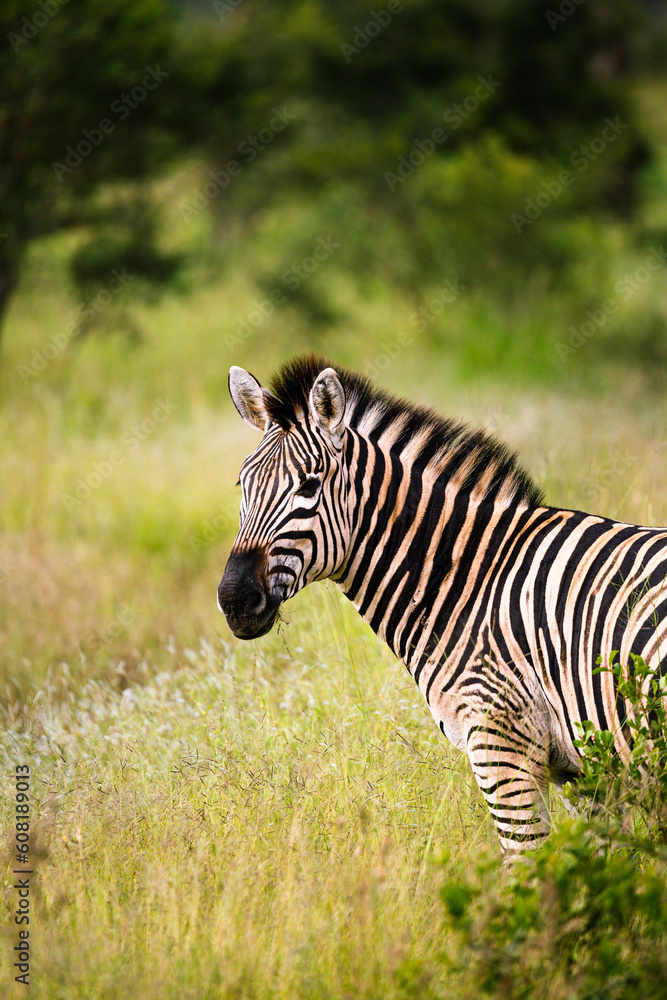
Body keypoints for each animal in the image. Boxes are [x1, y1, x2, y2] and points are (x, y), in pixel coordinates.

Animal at [217, 354, 667, 857]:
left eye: (310, 487)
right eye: (242, 485)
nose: (234, 601)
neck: (472, 577)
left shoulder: (501, 741)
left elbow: (528, 864)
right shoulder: (586, 773)